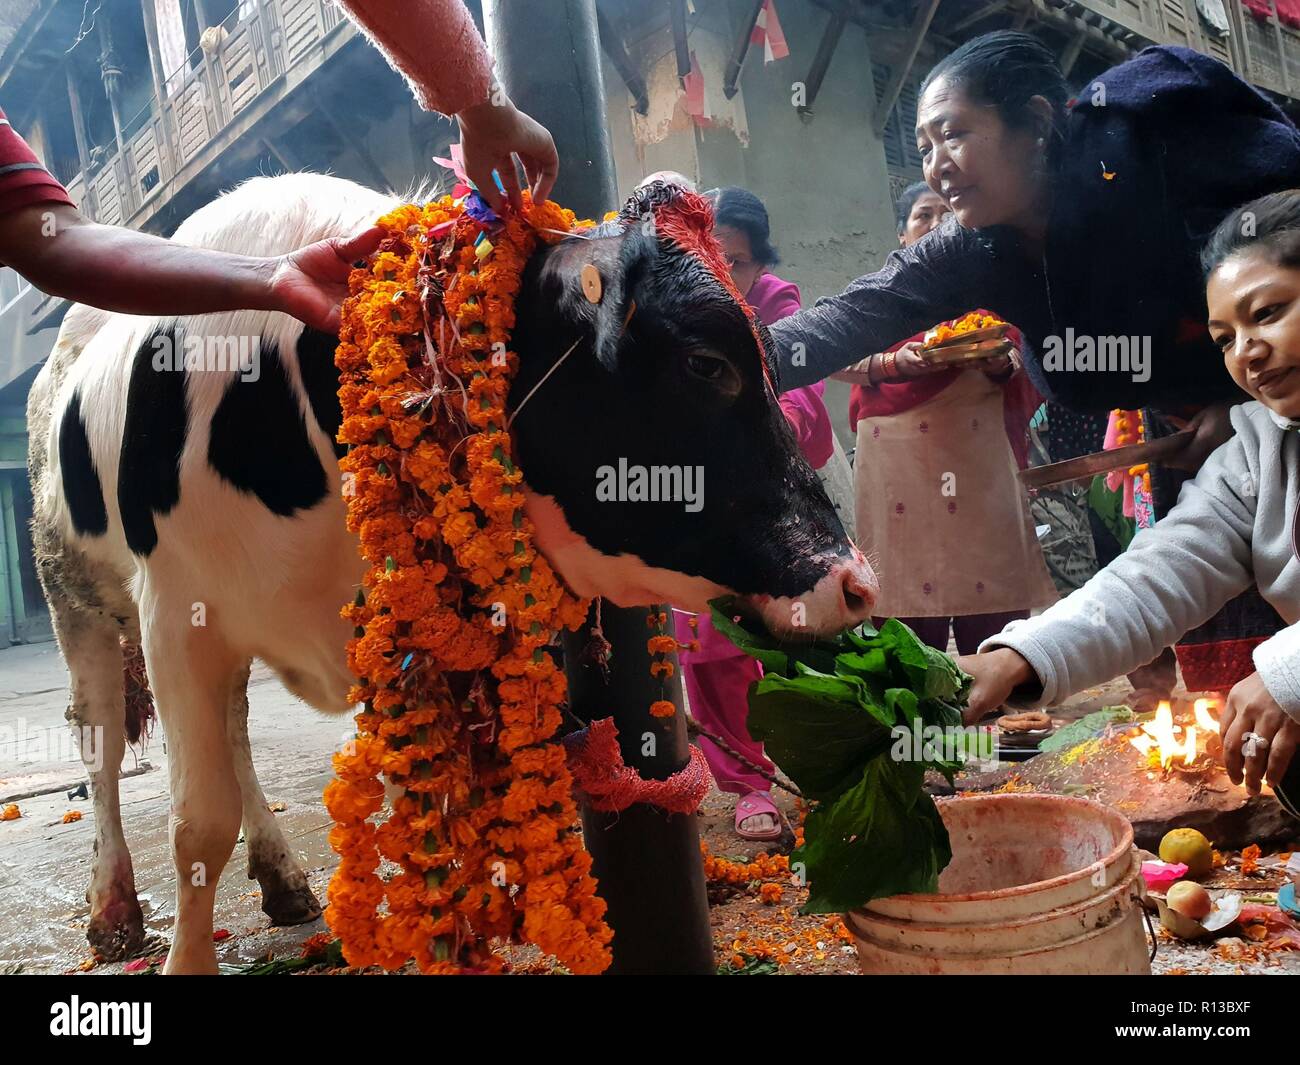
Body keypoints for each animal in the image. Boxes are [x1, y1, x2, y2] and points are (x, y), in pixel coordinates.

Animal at [27, 172, 873, 972]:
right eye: (707, 362)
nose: (856, 583)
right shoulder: (177, 613)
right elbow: (199, 823)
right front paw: (186, 958)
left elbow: (421, 809)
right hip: (75, 597)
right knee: (102, 744)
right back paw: (113, 909)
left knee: (234, 738)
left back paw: (281, 877)